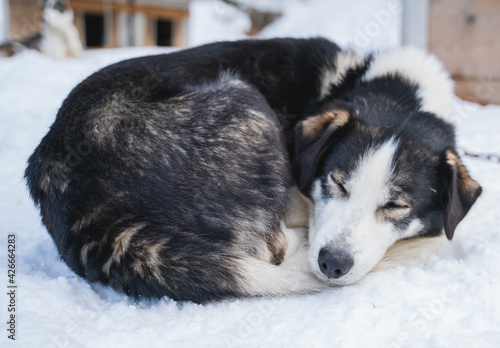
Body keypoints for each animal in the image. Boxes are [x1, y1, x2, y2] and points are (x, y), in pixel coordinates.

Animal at [24, 38, 480, 304]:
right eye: (336, 182)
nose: (332, 263)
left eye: (396, 206)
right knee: (270, 247)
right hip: (245, 99)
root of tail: (79, 201)